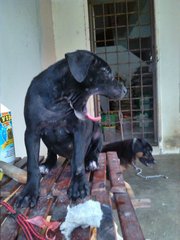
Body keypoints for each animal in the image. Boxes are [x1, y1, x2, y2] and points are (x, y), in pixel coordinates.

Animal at [16, 49, 127, 207]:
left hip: (97, 130)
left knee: (93, 151)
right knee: (51, 154)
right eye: (106, 72)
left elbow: (78, 159)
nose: (125, 90)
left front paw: (78, 185)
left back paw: (91, 161)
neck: (60, 100)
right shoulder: (31, 132)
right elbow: (32, 164)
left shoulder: (80, 131)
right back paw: (47, 164)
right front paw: (29, 192)